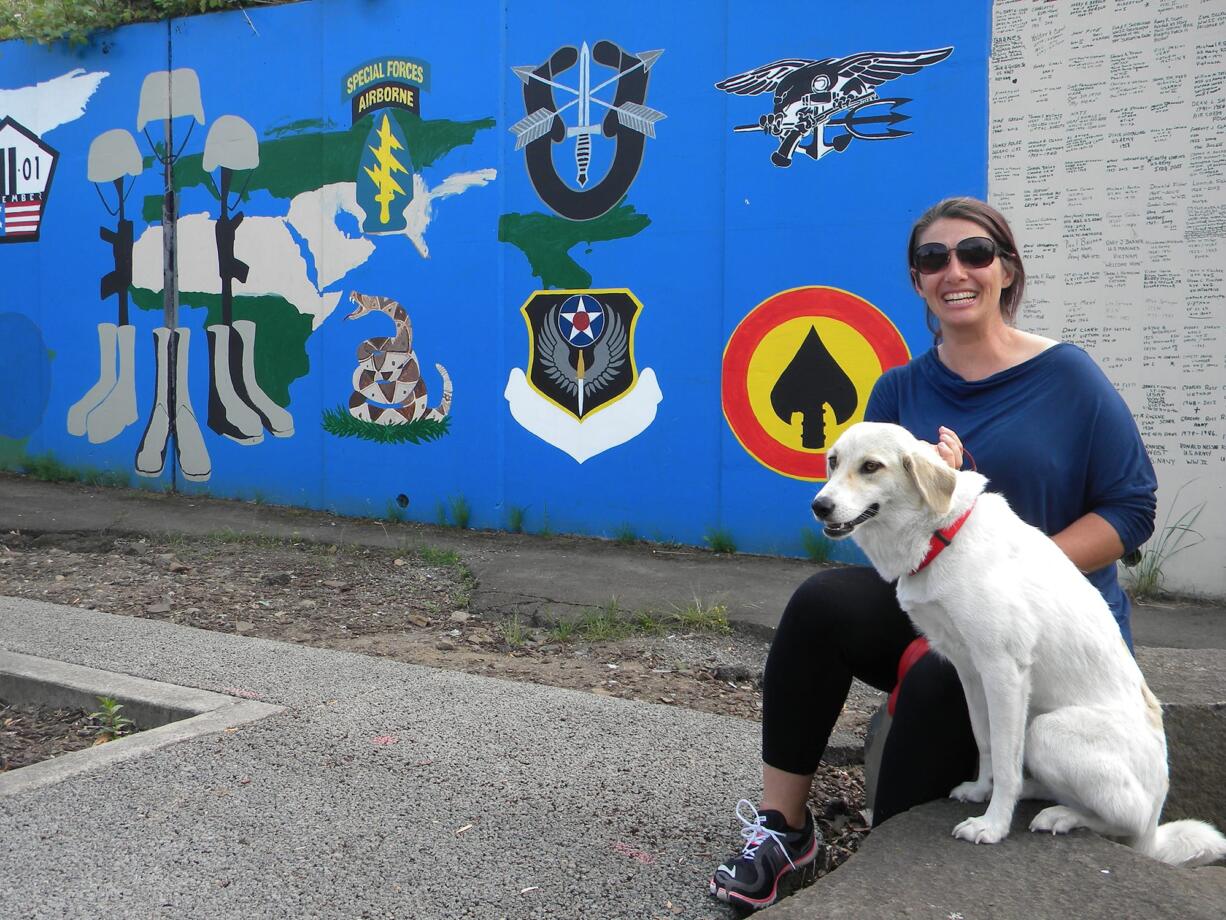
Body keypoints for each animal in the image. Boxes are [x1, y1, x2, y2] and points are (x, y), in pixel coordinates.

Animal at [809, 421, 1221, 868]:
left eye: (871, 466)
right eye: (833, 461)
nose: (819, 506)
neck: (943, 533)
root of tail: (1154, 828)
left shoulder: (1004, 671)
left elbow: (1007, 763)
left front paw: (993, 825)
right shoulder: (970, 671)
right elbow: (987, 741)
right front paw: (981, 791)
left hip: (1047, 730)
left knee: (1120, 819)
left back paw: (1062, 815)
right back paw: (1036, 791)